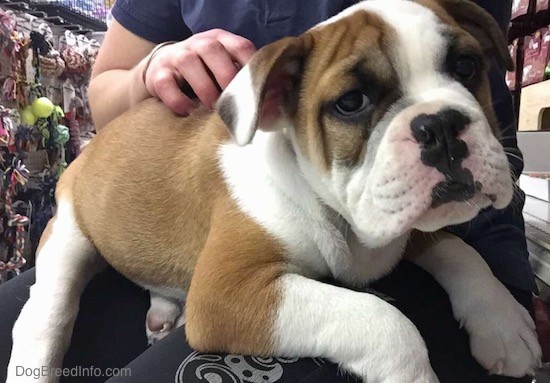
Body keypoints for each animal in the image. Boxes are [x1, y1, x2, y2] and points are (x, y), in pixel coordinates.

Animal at [7, 0, 544, 383]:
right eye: (351, 103)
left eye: (467, 66)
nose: (441, 126)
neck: (344, 221)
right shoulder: (229, 294)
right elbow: (385, 321)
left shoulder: (403, 226)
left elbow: (458, 250)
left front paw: (501, 320)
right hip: (67, 240)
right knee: (45, 317)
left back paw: (163, 313)